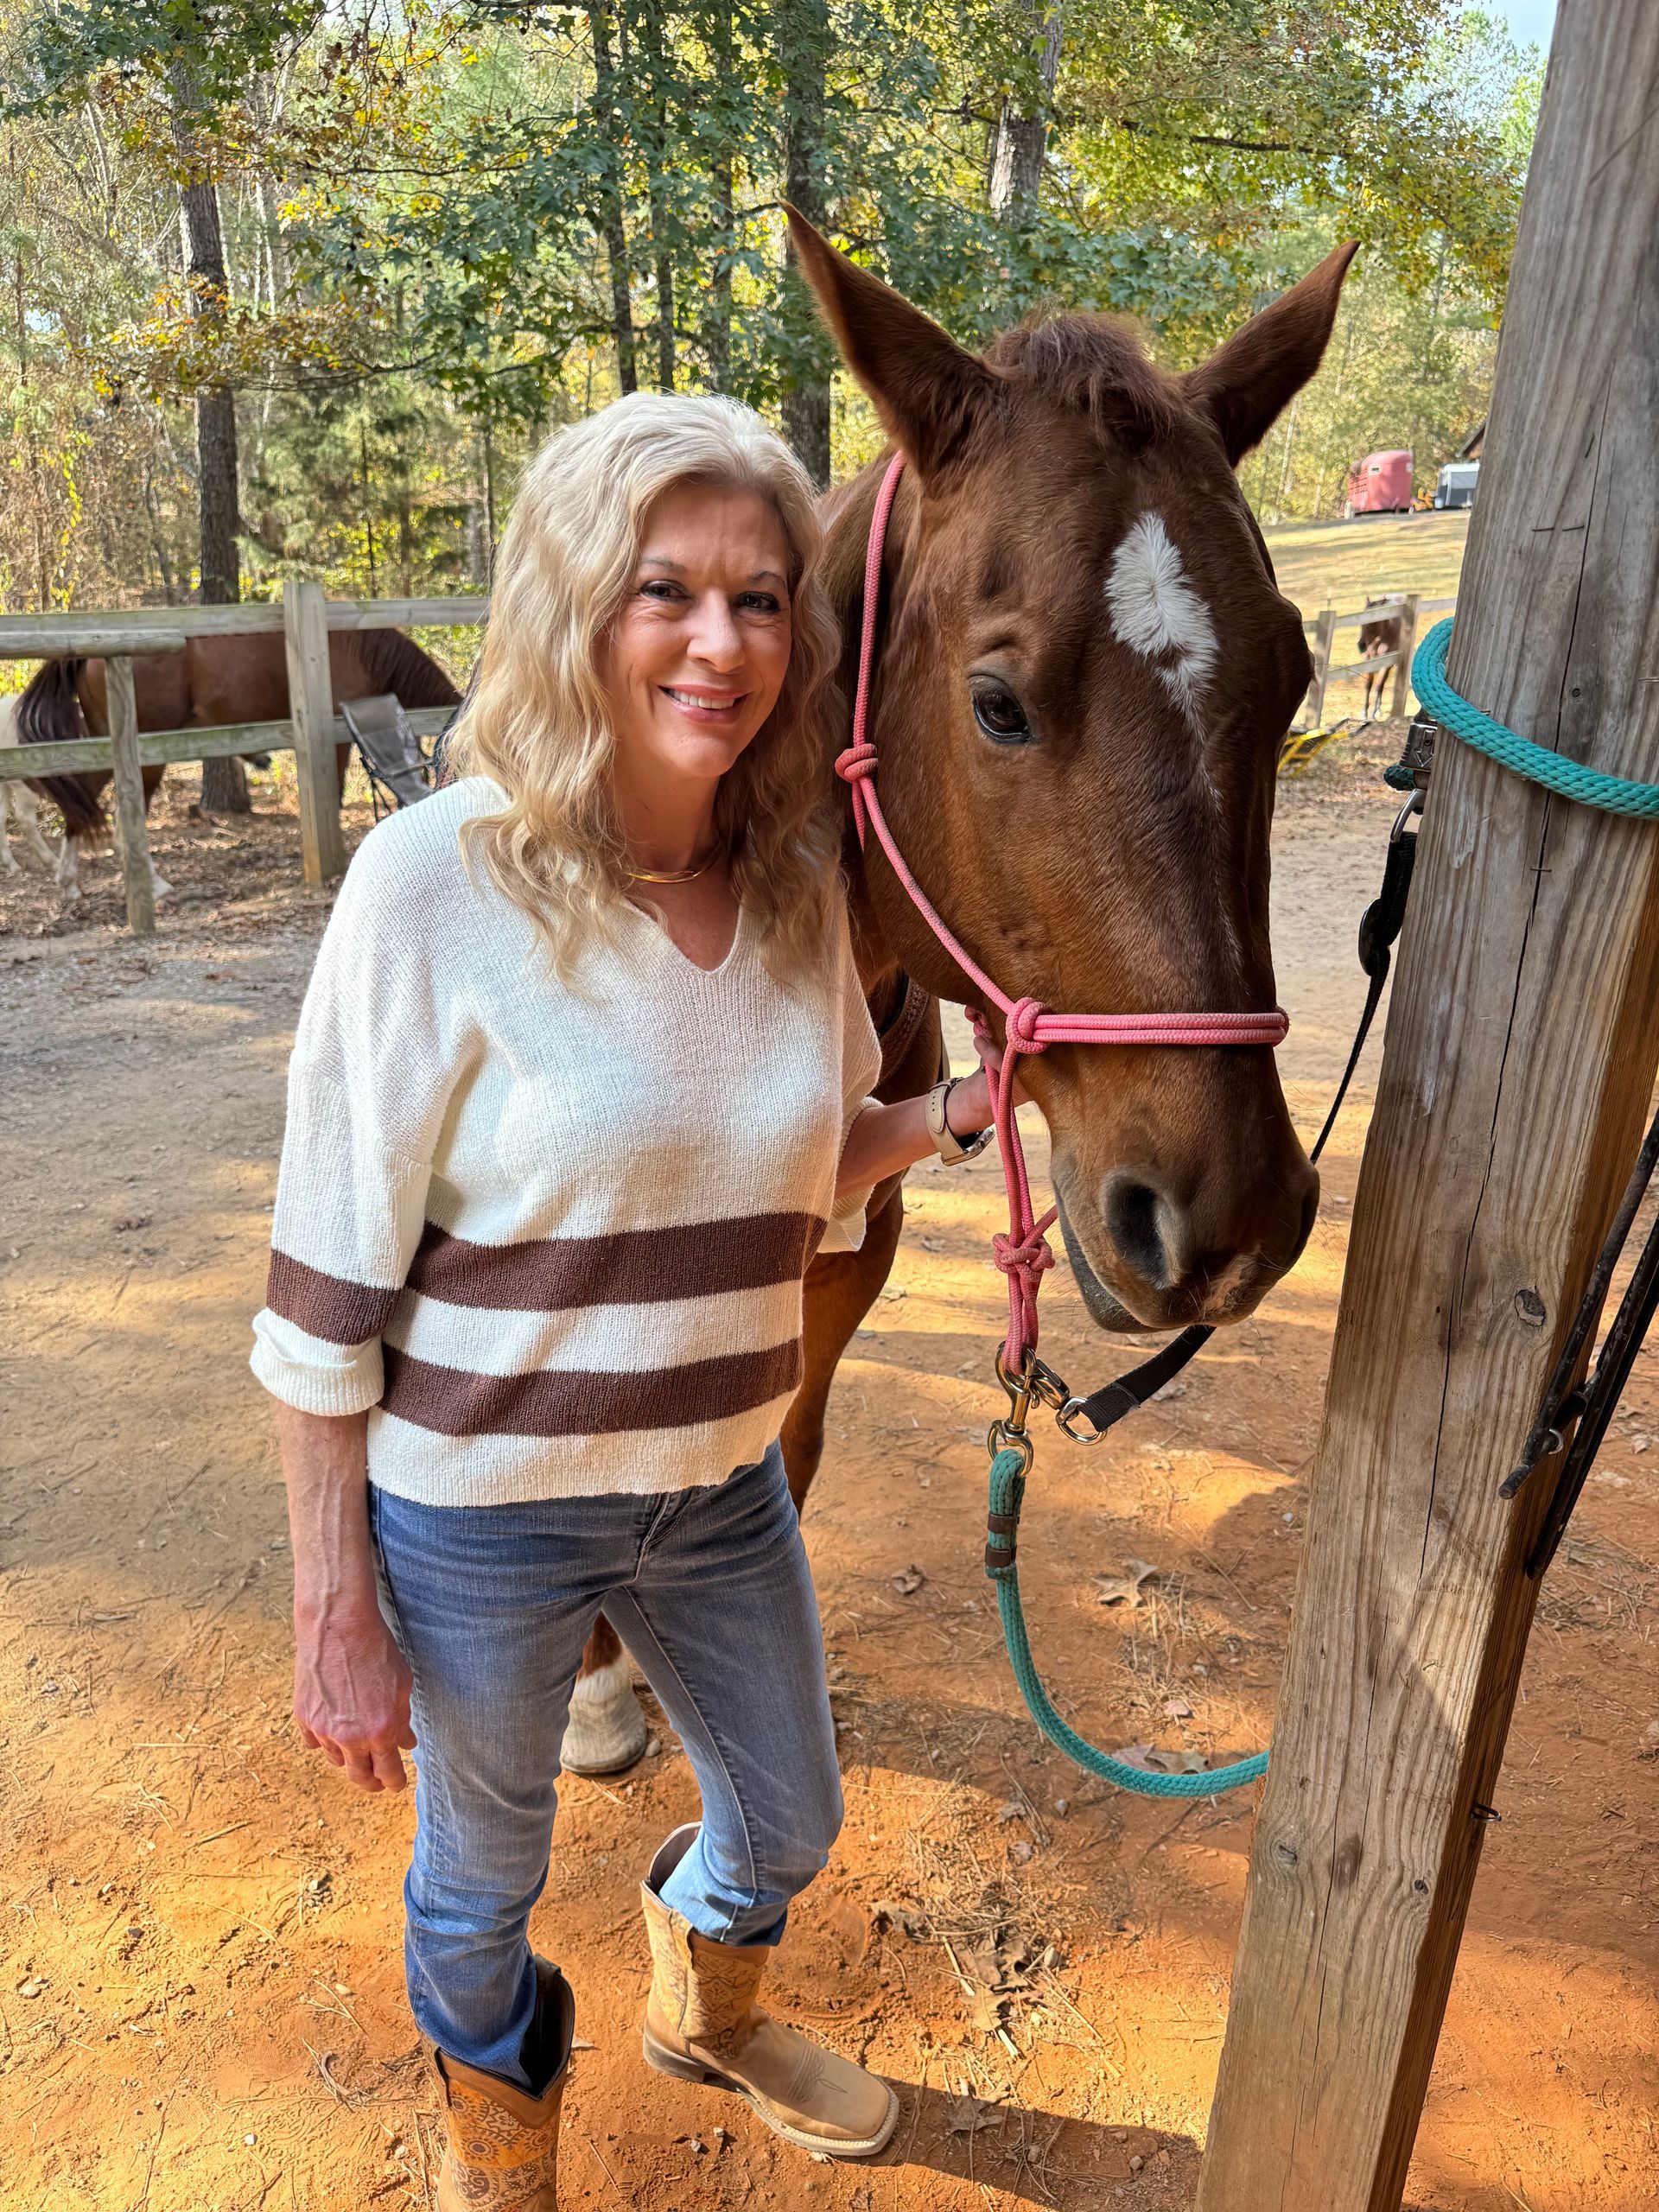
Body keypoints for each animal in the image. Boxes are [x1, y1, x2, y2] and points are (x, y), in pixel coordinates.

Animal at [14, 629, 462, 899]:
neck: (357, 650)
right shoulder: (337, 740)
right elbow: (332, 796)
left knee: (82, 803)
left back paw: (69, 883)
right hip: (143, 760)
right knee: (122, 824)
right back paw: (153, 884)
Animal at [562, 216, 1355, 1772]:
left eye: (1294, 677)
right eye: (998, 704)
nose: (1228, 1216)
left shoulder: (840, 1262)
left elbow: (783, 1449)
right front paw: (604, 1682)